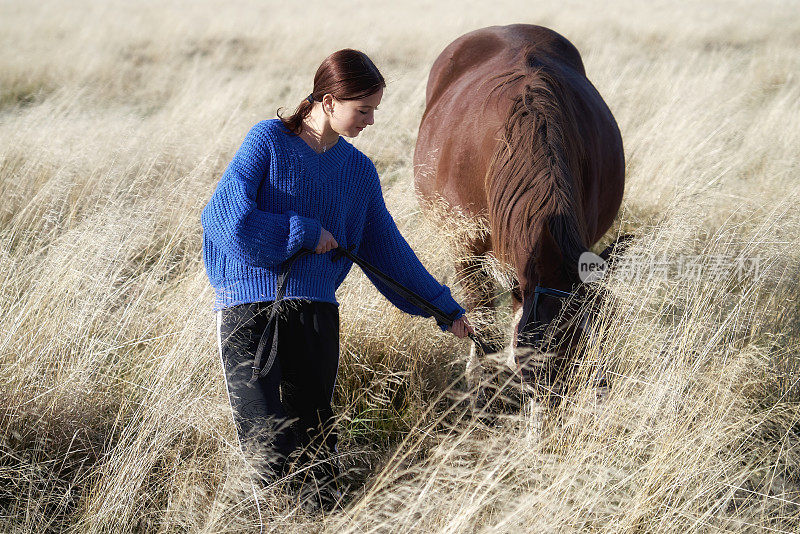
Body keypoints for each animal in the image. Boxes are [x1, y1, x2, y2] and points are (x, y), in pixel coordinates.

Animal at [416, 25, 628, 402]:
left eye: (581, 344)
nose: (553, 398)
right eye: (531, 360)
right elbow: (481, 315)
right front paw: (481, 387)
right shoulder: (464, 247)